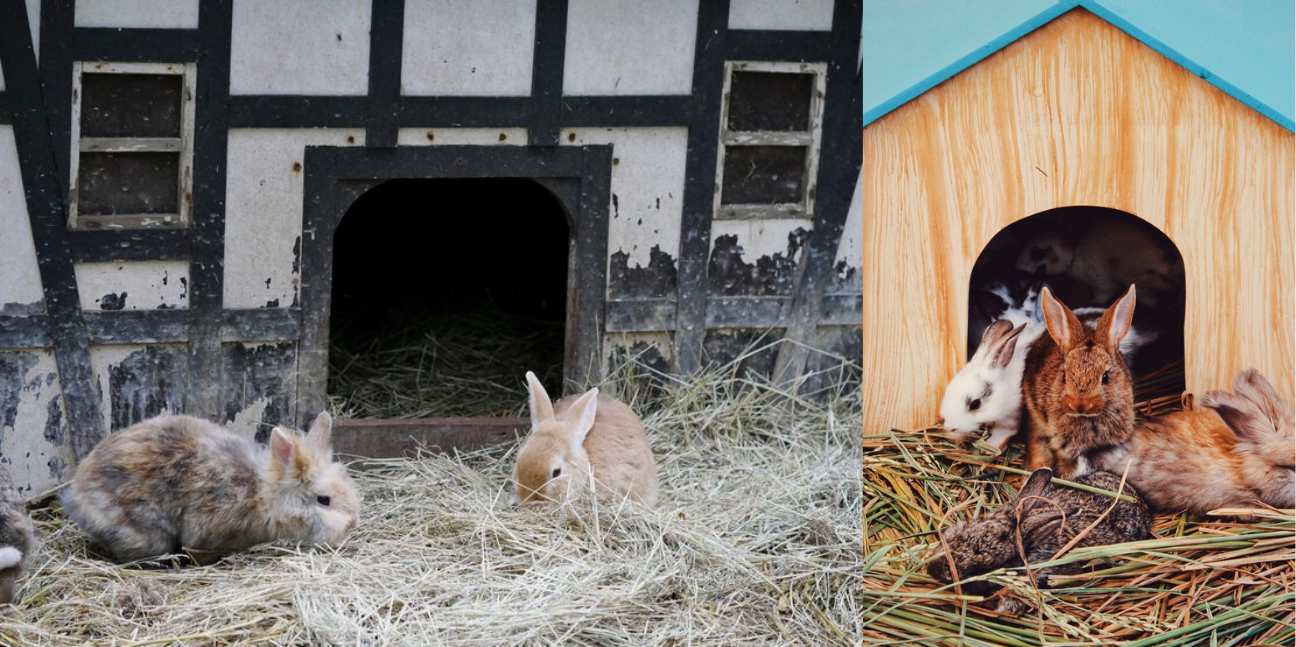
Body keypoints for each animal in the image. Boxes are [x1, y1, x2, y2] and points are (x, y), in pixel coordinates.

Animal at [940, 319, 1041, 450]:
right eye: (948, 391)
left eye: (975, 404)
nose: (949, 426)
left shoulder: (1010, 417)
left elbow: (1003, 432)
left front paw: (990, 447)